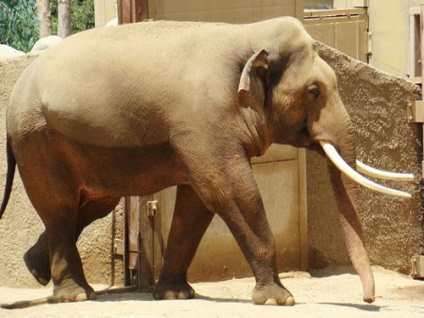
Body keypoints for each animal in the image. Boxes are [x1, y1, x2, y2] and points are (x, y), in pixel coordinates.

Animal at [0, 16, 410, 306]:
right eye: (313, 91)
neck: (247, 35)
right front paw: (280, 300)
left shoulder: (197, 133)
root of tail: (15, 91)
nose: (368, 298)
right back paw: (75, 295)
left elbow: (197, 201)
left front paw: (175, 295)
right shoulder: (203, 121)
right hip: (39, 138)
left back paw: (36, 270)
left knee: (93, 203)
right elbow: (229, 190)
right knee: (60, 205)